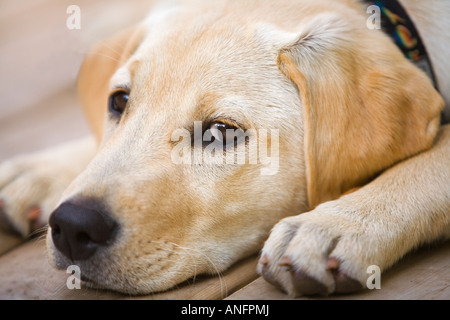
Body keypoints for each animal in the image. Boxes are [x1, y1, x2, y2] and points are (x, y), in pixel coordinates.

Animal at [0, 0, 450, 298]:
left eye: (219, 132)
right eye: (119, 101)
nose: (73, 227)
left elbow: (434, 161)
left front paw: (336, 224)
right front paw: (39, 170)